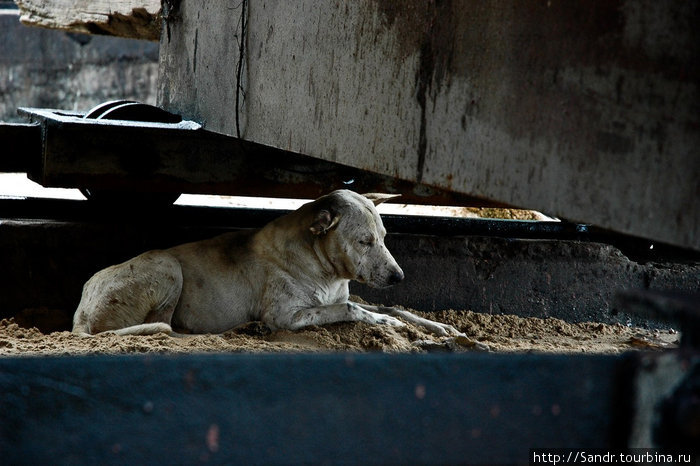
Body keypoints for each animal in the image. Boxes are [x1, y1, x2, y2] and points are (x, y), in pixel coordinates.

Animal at [74, 190, 462, 338]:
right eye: (365, 241)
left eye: (384, 236)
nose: (399, 276)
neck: (324, 268)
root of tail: (81, 312)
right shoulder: (288, 316)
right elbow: (354, 309)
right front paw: (386, 323)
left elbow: (393, 307)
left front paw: (442, 328)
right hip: (167, 264)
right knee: (166, 326)